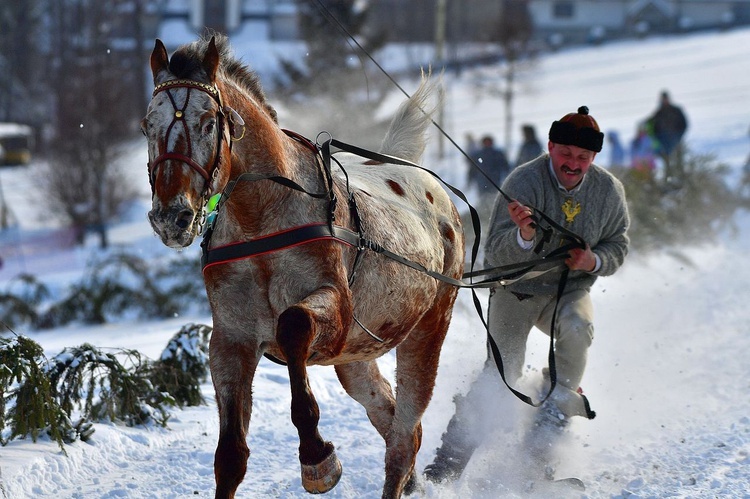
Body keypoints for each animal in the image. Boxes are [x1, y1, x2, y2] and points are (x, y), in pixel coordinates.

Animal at [142, 33, 464, 498]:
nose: (172, 216)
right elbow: (230, 456)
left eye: (207, 123)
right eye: (147, 125)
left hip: (429, 325)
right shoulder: (231, 339)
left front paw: (316, 455)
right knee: (389, 418)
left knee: (404, 435)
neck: (260, 220)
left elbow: (292, 325)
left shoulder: (335, 310)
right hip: (355, 355)